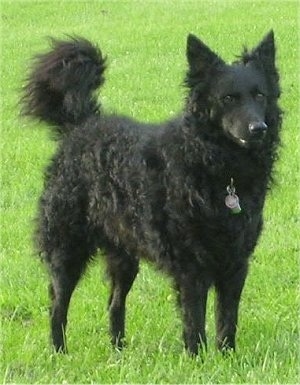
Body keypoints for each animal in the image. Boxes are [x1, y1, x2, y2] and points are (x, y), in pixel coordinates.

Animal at [21, 30, 282, 354]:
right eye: (228, 98)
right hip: (66, 247)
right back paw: (59, 352)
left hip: (123, 254)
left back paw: (118, 350)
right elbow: (194, 321)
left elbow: (227, 318)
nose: (258, 128)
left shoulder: (235, 262)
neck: (213, 165)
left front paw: (227, 356)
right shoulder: (191, 266)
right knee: (57, 305)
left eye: (259, 95)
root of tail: (81, 125)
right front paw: (197, 358)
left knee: (114, 303)